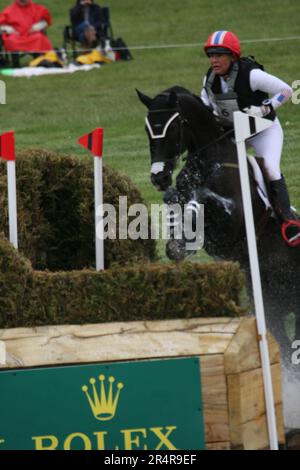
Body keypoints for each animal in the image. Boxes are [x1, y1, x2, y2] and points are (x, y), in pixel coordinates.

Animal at [138, 85, 300, 368]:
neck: (210, 161)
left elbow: (208, 198)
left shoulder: (233, 222)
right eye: (148, 129)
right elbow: (179, 214)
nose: (158, 177)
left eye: (173, 126)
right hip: (272, 301)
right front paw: (177, 244)